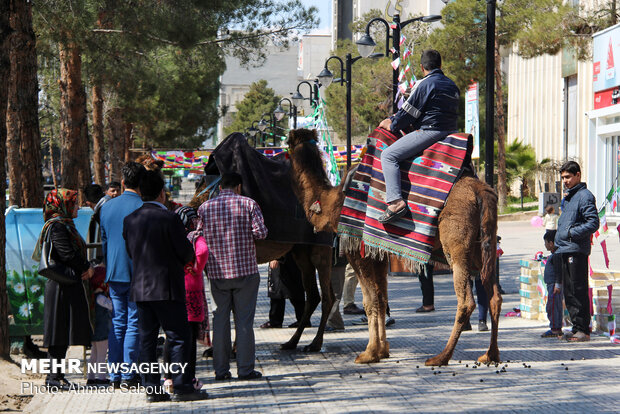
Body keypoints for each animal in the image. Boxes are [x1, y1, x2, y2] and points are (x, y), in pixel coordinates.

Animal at [188, 175, 334, 352]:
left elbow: (235, 305)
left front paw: (233, 349)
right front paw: (218, 350)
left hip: (320, 249)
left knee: (327, 296)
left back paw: (314, 344)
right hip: (301, 251)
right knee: (315, 295)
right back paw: (291, 342)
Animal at [288, 129, 502, 366]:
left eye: (287, 146)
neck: (330, 203)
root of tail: (481, 191)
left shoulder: (356, 248)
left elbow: (370, 300)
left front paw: (369, 353)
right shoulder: (378, 252)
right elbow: (382, 299)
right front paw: (382, 351)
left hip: (457, 246)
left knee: (466, 301)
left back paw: (440, 357)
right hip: (482, 247)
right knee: (494, 296)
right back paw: (490, 354)